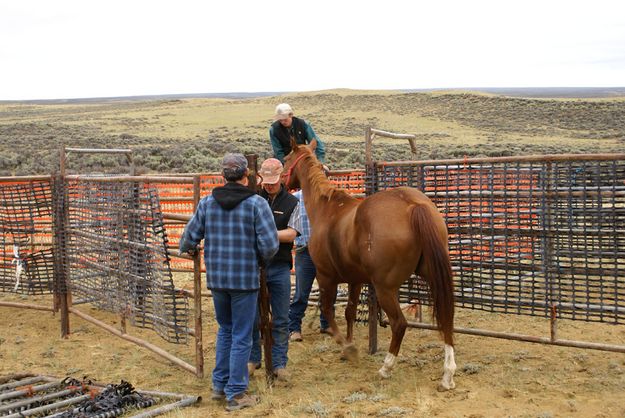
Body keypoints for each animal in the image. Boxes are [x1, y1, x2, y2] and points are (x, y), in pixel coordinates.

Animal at [286, 140, 456, 388]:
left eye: (285, 159)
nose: (281, 182)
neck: (326, 209)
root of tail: (413, 205)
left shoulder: (326, 277)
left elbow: (327, 310)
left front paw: (347, 347)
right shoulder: (355, 280)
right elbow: (349, 311)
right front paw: (347, 346)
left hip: (385, 289)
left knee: (399, 324)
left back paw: (386, 367)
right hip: (434, 276)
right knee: (446, 317)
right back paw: (448, 374)